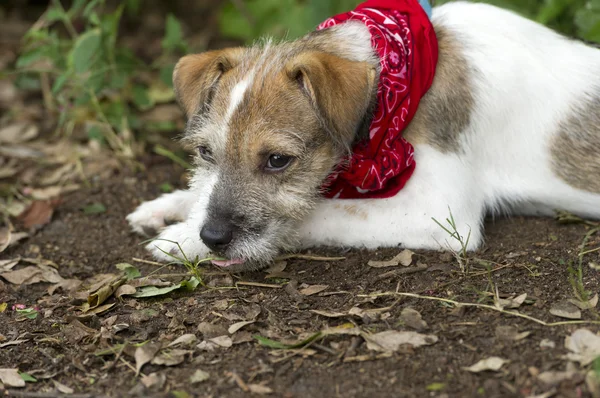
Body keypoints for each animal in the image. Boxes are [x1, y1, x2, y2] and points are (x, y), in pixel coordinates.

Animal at [129, 0, 600, 270]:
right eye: (206, 152)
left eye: (277, 160)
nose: (213, 237)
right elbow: (203, 193)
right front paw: (170, 208)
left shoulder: (441, 213)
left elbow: (320, 211)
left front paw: (182, 239)